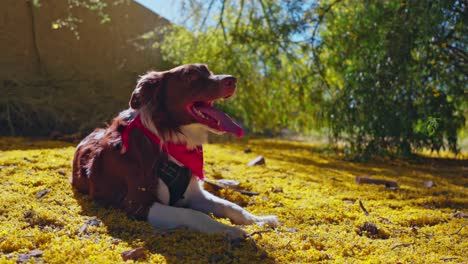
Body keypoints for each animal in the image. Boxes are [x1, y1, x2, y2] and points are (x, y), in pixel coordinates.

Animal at [71, 63, 278, 239]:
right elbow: (194, 215)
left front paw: (259, 220)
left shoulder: (195, 194)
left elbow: (231, 206)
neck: (169, 138)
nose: (232, 80)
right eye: (191, 76)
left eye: (209, 71)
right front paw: (229, 230)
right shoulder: (137, 203)